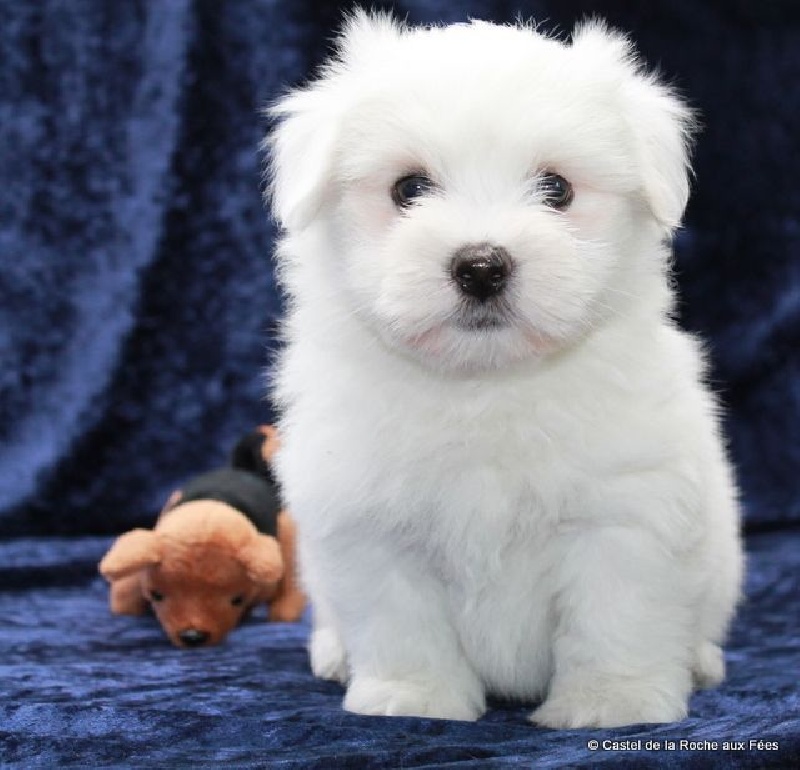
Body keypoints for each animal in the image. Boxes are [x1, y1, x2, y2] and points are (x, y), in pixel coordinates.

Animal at [266, 12, 740, 728]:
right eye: (409, 188)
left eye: (557, 189)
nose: (482, 266)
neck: (485, 386)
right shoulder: (370, 524)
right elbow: (402, 621)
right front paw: (414, 698)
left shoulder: (626, 517)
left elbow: (617, 618)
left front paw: (611, 702)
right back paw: (334, 654)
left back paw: (702, 660)